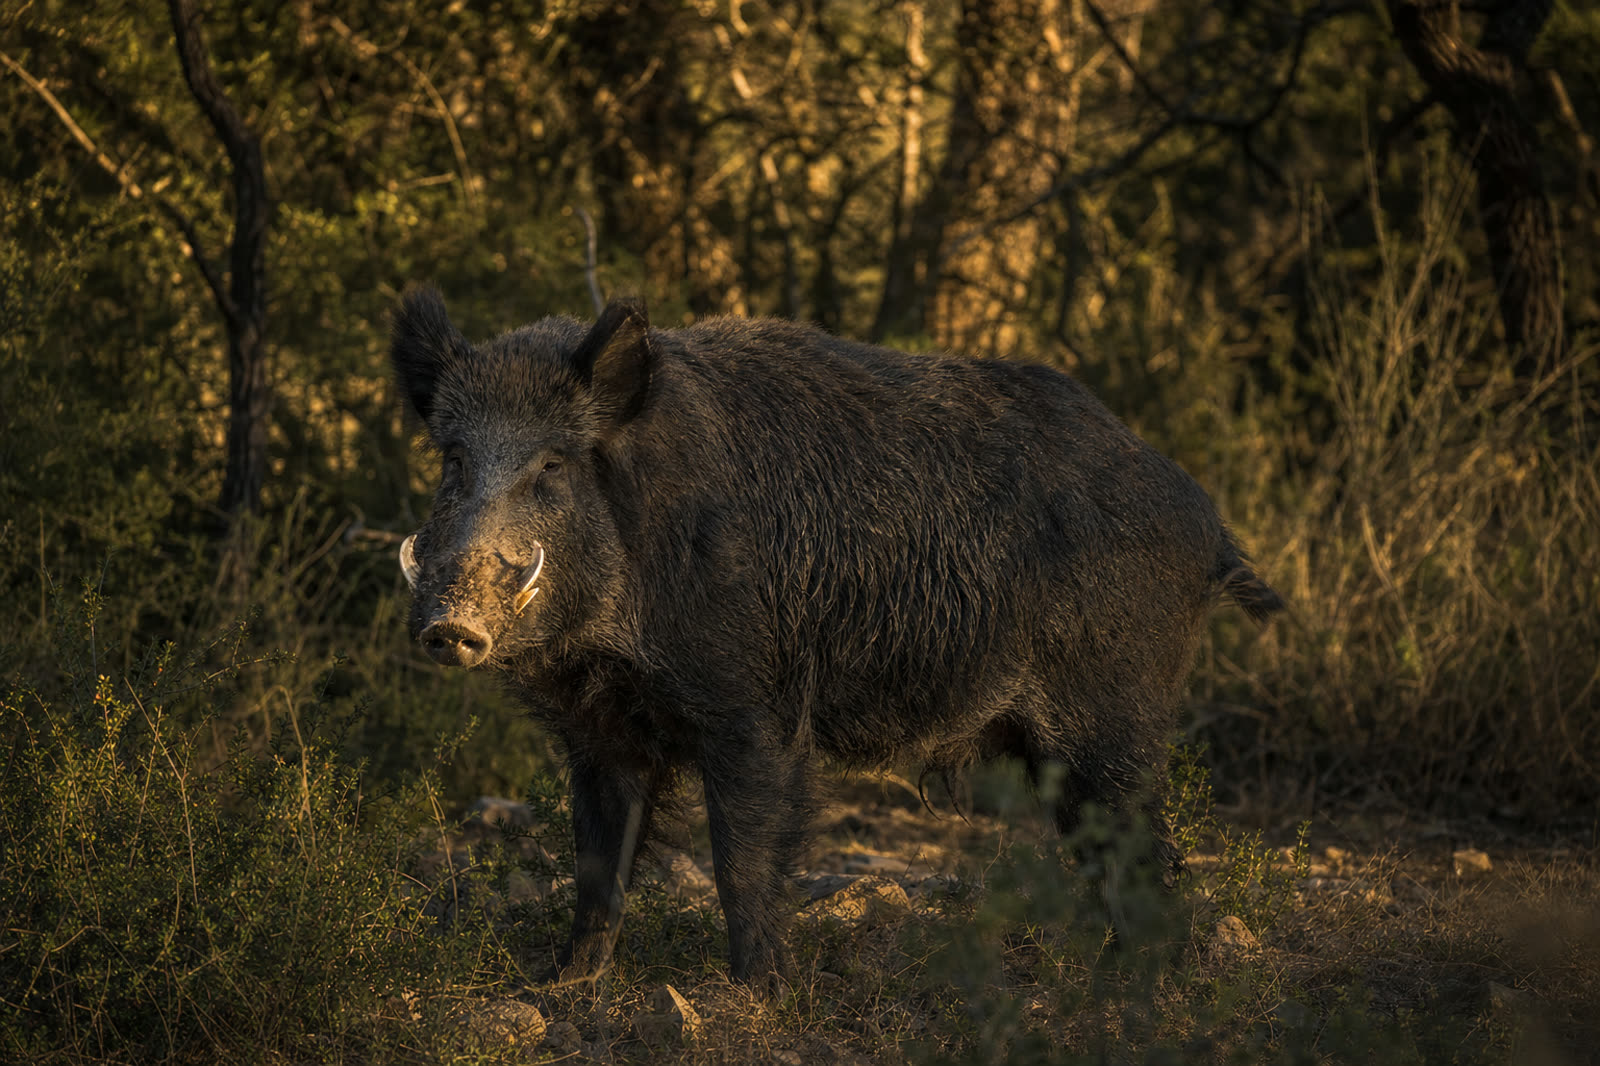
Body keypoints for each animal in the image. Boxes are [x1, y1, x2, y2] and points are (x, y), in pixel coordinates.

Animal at [390, 287, 1282, 987]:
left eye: (552, 465)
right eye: (454, 459)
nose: (449, 625)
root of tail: (1208, 526)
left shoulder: (752, 707)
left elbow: (742, 859)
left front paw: (753, 995)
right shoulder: (600, 734)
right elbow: (597, 867)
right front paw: (562, 987)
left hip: (1113, 717)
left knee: (1146, 853)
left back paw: (1140, 981)